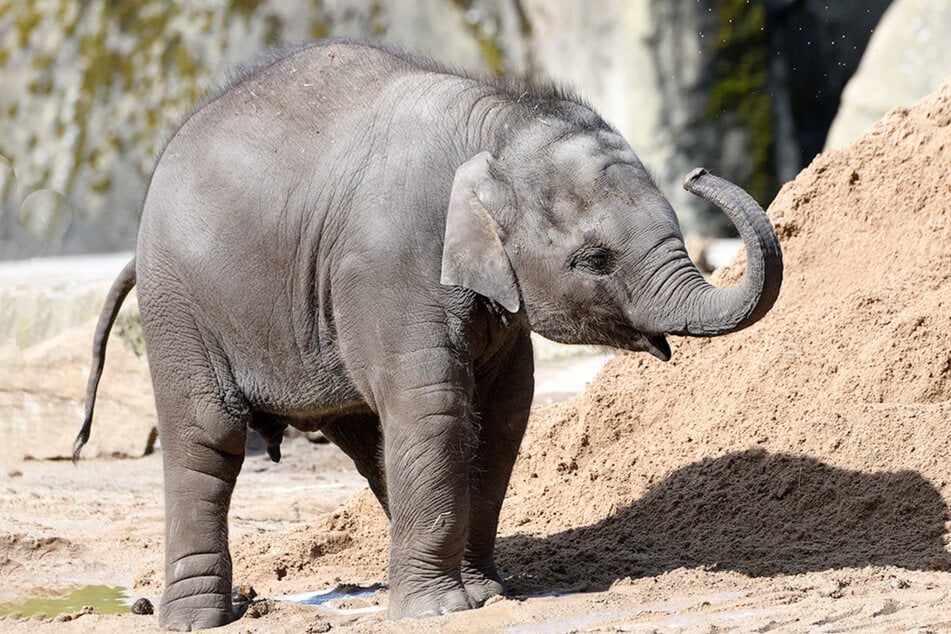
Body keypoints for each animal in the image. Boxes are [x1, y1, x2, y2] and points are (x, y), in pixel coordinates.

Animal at [76, 38, 780, 628]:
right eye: (594, 259)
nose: (698, 174)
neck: (497, 123)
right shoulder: (391, 263)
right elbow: (436, 406)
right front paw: (441, 611)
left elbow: (500, 415)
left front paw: (485, 596)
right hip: (180, 304)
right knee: (208, 436)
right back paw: (197, 621)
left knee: (371, 441)